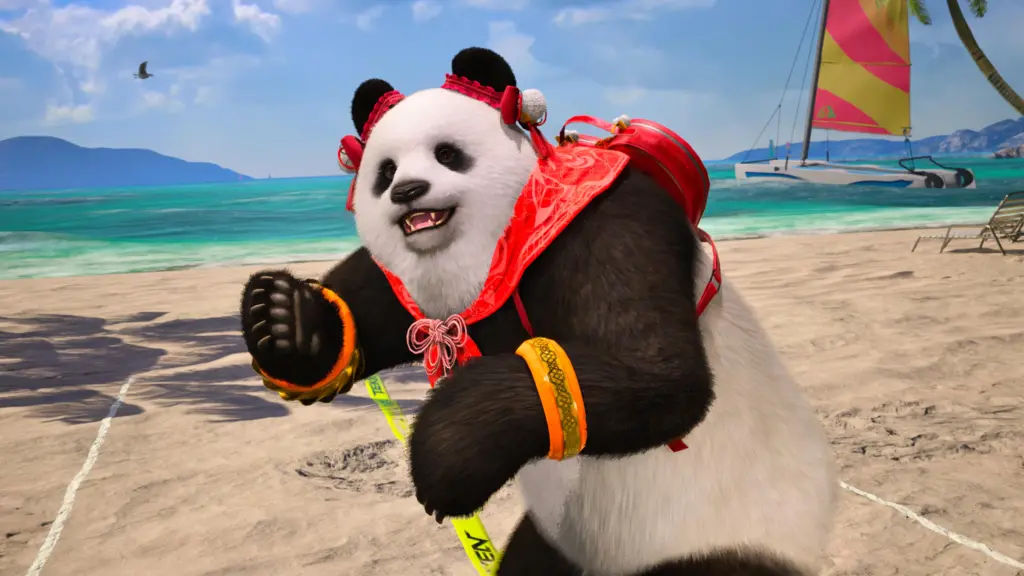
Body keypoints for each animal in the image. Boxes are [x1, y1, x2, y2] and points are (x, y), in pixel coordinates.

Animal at [240, 47, 837, 576]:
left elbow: (653, 372)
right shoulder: (417, 285)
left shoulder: (601, 227)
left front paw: (444, 459)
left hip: (715, 539)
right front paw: (285, 318)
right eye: (384, 171)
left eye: (447, 153)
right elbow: (368, 308)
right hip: (558, 541)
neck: (498, 242)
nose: (408, 191)